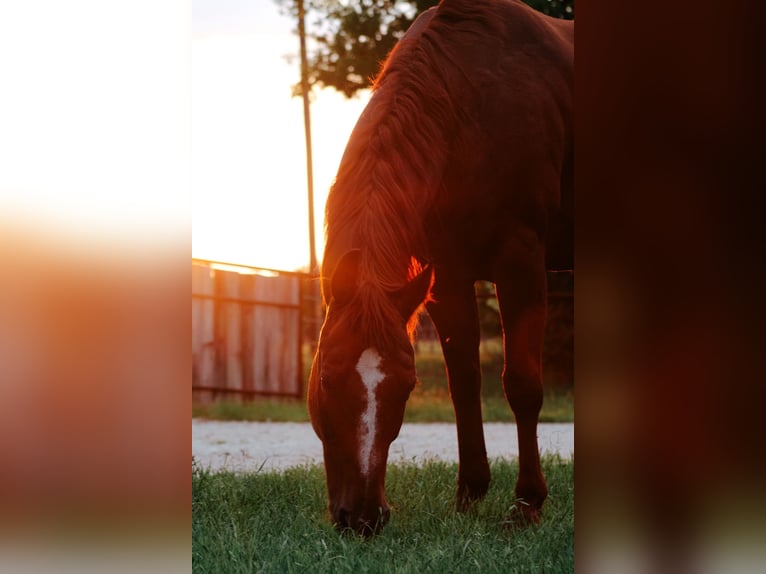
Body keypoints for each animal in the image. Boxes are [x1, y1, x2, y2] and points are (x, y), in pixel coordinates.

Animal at [308, 0, 572, 540]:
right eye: (325, 377)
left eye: (406, 387)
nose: (363, 518)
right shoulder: (447, 276)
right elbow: (464, 383)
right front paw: (469, 495)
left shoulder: (521, 264)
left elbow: (522, 385)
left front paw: (527, 504)